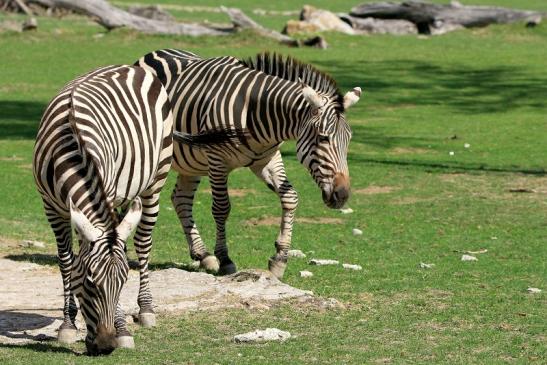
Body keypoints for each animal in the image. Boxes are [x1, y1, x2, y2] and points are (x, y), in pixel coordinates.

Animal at [33, 64, 173, 352]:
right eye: (88, 282)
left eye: (123, 282)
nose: (107, 345)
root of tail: (129, 67)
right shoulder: (51, 207)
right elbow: (66, 260)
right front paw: (67, 324)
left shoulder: (103, 192)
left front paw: (122, 329)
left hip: (156, 177)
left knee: (143, 242)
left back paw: (146, 309)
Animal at [135, 48, 362, 278]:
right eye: (323, 138)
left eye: (349, 139)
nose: (343, 195)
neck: (253, 112)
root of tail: (151, 54)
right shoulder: (217, 161)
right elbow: (221, 208)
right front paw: (225, 259)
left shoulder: (268, 159)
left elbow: (290, 198)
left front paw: (280, 258)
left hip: (192, 162)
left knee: (180, 198)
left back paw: (203, 254)